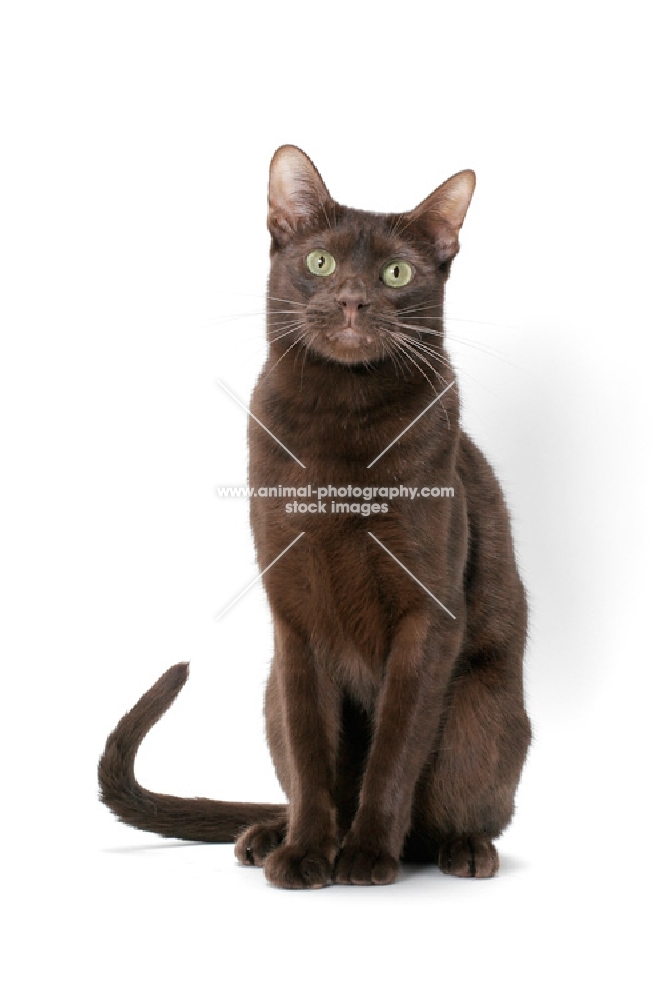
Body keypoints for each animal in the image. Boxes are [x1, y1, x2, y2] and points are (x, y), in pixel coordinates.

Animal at [98, 145, 528, 888]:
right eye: (321, 262)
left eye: (395, 272)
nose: (353, 298)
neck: (341, 421)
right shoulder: (293, 615)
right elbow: (310, 749)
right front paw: (305, 854)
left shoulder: (428, 614)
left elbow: (394, 749)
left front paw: (365, 855)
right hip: (270, 688)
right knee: (296, 777)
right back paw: (267, 834)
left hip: (481, 710)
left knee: (460, 808)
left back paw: (460, 850)